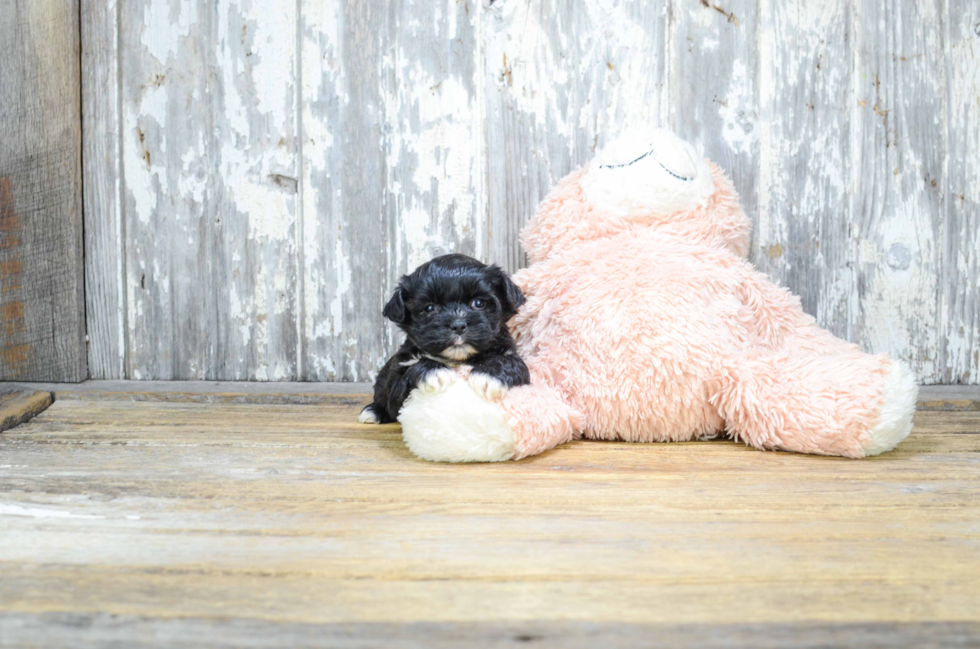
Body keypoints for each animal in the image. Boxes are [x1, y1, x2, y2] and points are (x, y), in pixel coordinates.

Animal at [358, 253, 528, 426]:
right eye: (430, 308)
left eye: (479, 303)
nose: (458, 325)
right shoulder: (398, 380)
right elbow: (400, 385)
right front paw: (434, 370)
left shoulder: (513, 357)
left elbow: (511, 362)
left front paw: (488, 375)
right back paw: (373, 411)